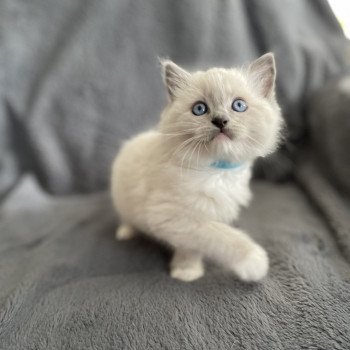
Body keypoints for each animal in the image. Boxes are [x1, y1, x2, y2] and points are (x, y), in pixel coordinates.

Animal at [110, 53, 284, 282]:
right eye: (200, 109)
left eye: (238, 105)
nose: (220, 120)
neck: (217, 169)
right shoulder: (172, 216)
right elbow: (218, 235)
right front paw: (254, 260)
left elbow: (198, 243)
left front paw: (187, 270)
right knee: (126, 218)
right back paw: (125, 233)